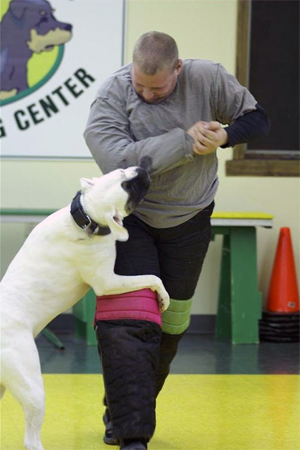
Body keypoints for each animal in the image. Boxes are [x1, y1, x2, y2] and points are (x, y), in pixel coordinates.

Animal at [0, 166, 169, 450]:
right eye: (128, 187)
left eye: (123, 172)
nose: (142, 168)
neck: (84, 218)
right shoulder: (108, 282)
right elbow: (153, 278)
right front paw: (163, 296)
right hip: (33, 390)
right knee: (31, 439)